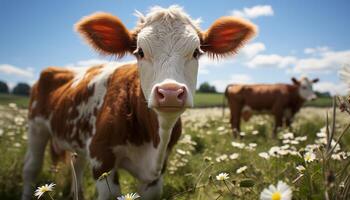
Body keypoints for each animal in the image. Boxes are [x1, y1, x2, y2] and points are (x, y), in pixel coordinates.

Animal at [22, 5, 258, 200]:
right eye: (140, 51)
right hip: (36, 127)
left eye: (196, 52)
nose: (170, 92)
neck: (152, 142)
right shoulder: (101, 159)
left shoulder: (156, 175)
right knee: (31, 167)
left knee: (76, 167)